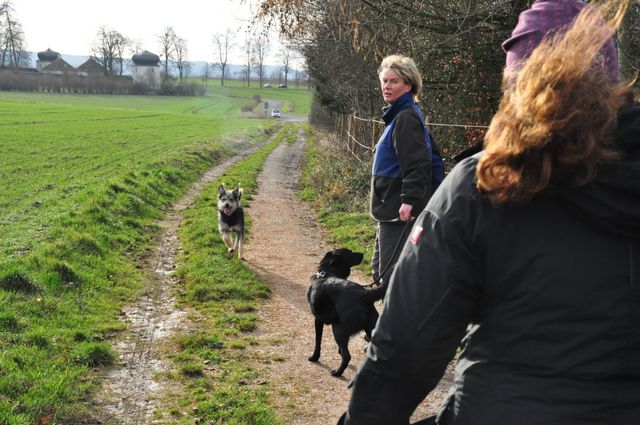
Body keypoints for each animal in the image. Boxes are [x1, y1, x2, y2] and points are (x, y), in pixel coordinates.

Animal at [307, 248, 387, 377]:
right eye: (350, 252)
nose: (362, 254)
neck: (328, 273)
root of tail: (365, 294)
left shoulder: (318, 320)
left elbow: (317, 342)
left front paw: (314, 357)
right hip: (370, 328)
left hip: (338, 329)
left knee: (347, 356)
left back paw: (337, 372)